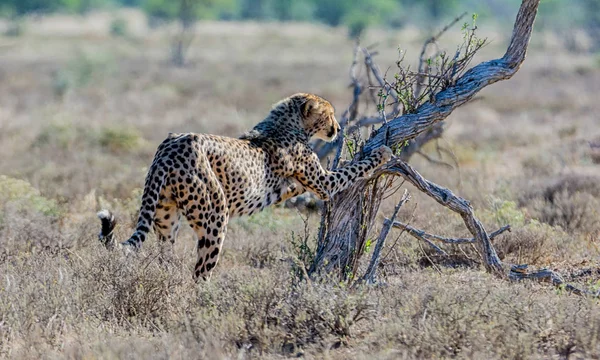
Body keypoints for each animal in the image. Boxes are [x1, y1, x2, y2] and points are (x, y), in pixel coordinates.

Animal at [98, 91, 394, 280]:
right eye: (329, 114)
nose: (338, 128)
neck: (290, 122)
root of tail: (172, 144)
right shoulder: (324, 182)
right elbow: (352, 168)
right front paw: (382, 153)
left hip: (165, 217)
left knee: (165, 255)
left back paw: (166, 281)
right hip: (215, 216)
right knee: (201, 271)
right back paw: (203, 302)